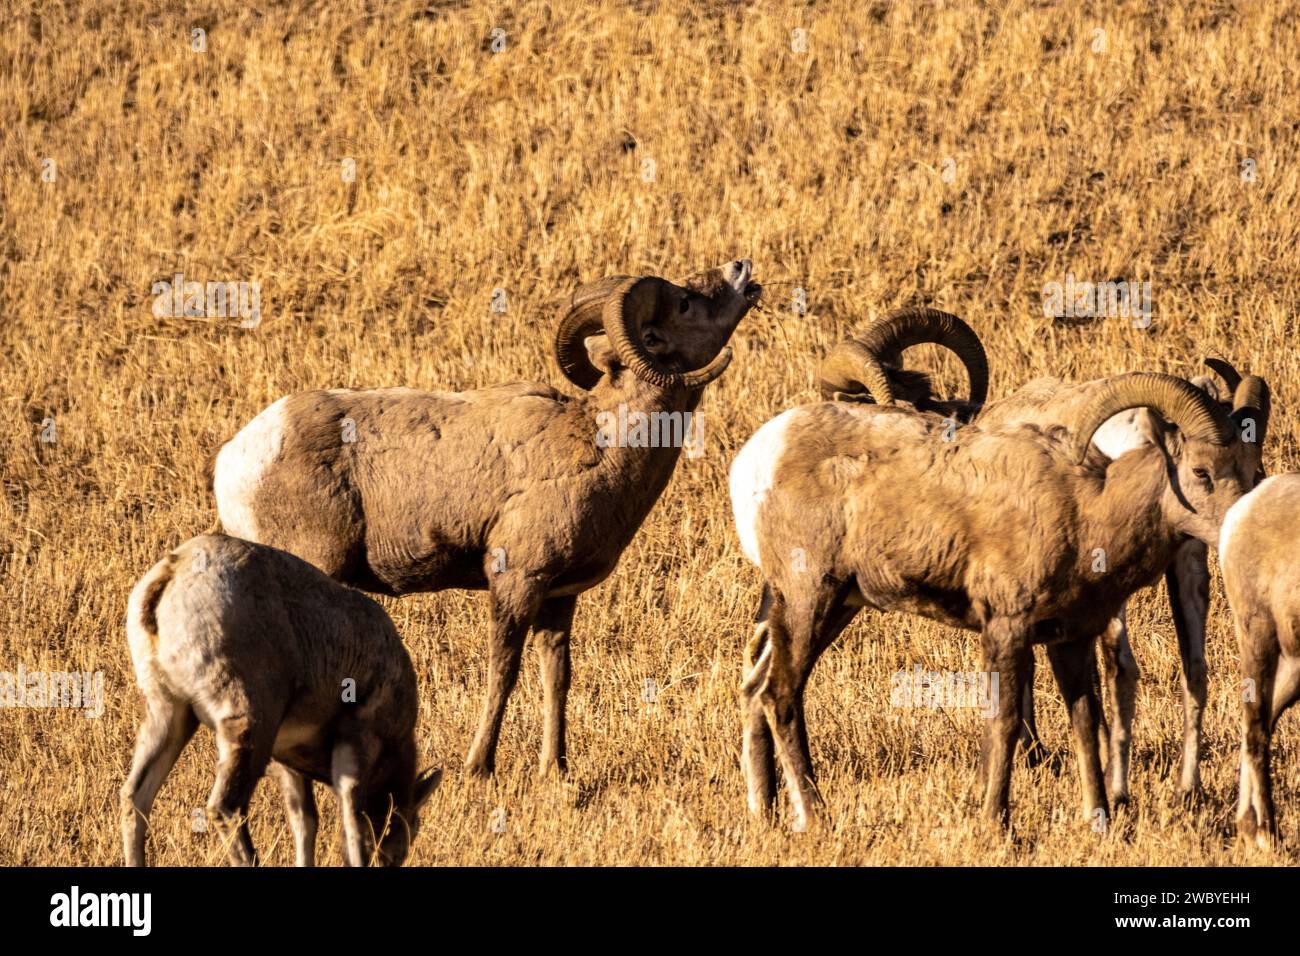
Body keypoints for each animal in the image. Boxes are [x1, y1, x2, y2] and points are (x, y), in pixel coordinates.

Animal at [120, 535, 441, 868]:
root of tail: (170, 575)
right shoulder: (355, 746)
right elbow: (352, 828)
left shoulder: (287, 759)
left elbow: (305, 824)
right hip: (247, 723)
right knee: (225, 809)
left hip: (169, 712)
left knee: (135, 798)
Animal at [213, 260, 759, 780]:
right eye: (685, 303)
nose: (741, 270)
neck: (601, 444)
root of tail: (235, 461)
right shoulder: (516, 580)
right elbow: (504, 671)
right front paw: (480, 768)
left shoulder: (559, 597)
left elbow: (557, 676)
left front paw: (556, 770)